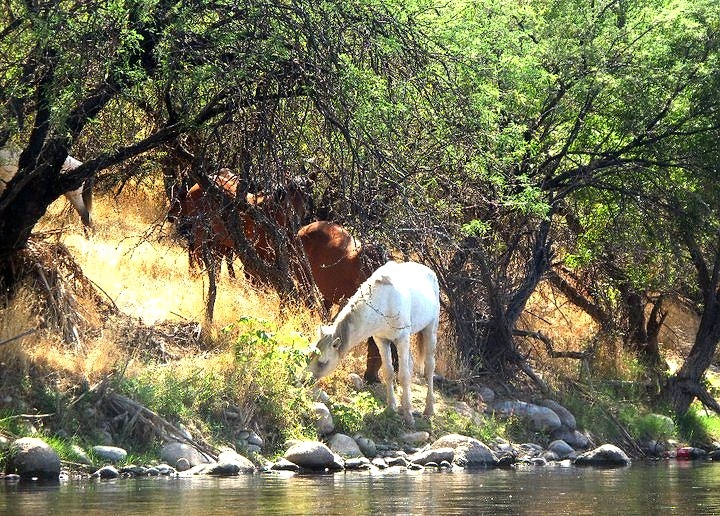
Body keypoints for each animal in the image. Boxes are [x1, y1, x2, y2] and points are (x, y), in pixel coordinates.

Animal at [307, 260, 440, 425]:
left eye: (322, 363)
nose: (304, 381)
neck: (385, 301)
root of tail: (429, 271)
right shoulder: (381, 340)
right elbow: (388, 372)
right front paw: (391, 408)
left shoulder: (402, 338)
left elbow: (403, 375)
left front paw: (409, 417)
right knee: (409, 363)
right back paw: (404, 405)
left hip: (430, 329)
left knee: (429, 367)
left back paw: (429, 409)